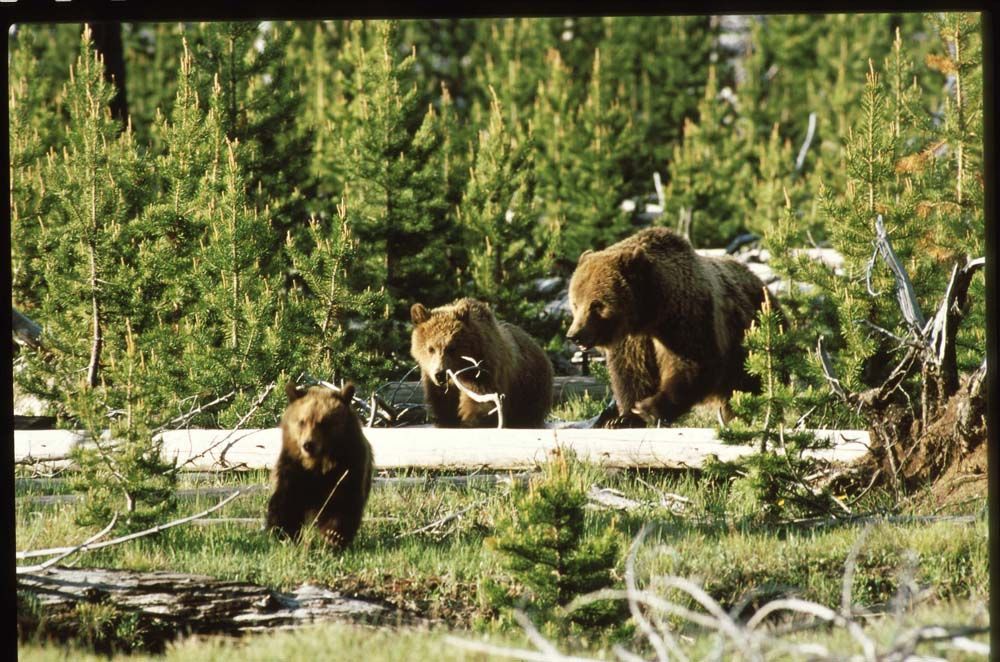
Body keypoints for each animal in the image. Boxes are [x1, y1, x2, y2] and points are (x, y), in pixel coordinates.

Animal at [266, 381, 373, 548]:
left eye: (324, 423)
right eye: (302, 421)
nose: (308, 445)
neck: (317, 465)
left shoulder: (347, 468)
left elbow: (343, 504)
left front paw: (333, 538)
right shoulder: (293, 468)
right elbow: (286, 502)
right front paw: (284, 534)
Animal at [410, 298, 554, 428]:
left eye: (451, 348)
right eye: (430, 348)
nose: (440, 374)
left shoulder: (484, 369)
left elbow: (481, 399)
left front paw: (472, 420)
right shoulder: (433, 380)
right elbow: (442, 402)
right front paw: (447, 420)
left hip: (530, 386)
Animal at [566, 227, 772, 428]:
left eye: (596, 305)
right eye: (575, 303)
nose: (574, 335)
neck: (649, 315)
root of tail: (760, 282)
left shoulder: (685, 319)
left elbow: (692, 364)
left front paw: (648, 408)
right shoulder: (633, 341)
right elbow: (632, 374)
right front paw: (622, 418)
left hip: (748, 344)